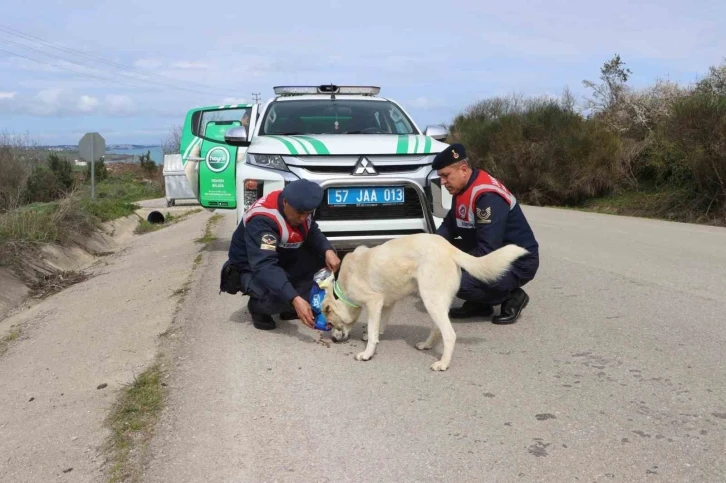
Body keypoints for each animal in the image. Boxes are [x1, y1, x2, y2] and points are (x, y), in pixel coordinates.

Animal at [322, 233, 532, 372]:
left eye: (330, 323)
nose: (333, 340)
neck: (343, 288)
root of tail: (449, 248)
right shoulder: (386, 303)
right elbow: (379, 327)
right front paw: (372, 338)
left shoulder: (374, 302)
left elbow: (374, 331)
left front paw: (367, 354)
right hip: (432, 301)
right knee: (437, 328)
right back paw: (427, 345)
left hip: (431, 300)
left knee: (449, 335)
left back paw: (443, 364)